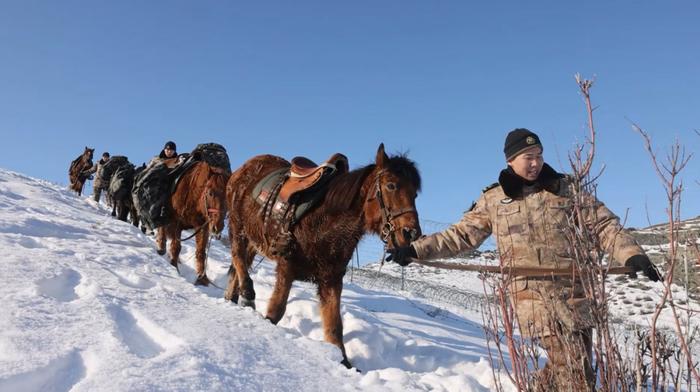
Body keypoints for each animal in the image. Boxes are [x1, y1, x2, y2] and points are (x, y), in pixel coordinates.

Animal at [226, 144, 422, 368]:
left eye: (415, 194)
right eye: (391, 185)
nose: (412, 233)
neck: (325, 224)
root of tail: (245, 167)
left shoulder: (331, 279)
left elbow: (334, 327)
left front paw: (344, 362)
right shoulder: (286, 267)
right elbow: (276, 311)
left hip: (254, 238)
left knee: (239, 264)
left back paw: (233, 295)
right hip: (237, 225)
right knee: (237, 255)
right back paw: (247, 292)